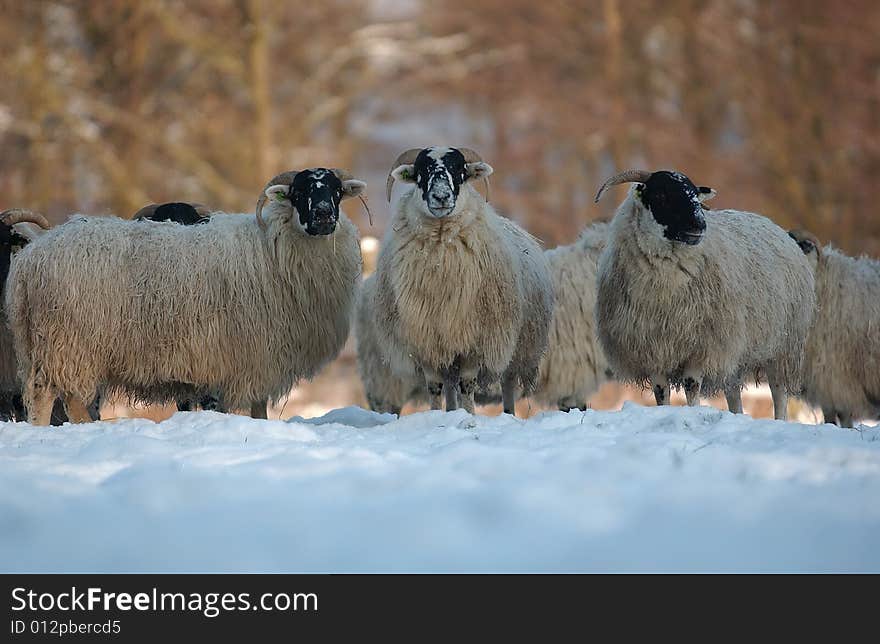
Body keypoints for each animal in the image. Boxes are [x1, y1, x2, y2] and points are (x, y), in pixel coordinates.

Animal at [4, 169, 364, 426]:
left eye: (336, 192)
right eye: (299, 193)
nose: (323, 216)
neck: (272, 248)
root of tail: (30, 260)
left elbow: (257, 410)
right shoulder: (247, 359)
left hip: (55, 346)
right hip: (70, 344)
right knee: (52, 396)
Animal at [374, 146, 552, 416]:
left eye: (459, 171)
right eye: (421, 172)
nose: (441, 196)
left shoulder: (475, 340)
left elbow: (467, 385)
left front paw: (468, 416)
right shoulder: (426, 340)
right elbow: (434, 386)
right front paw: (438, 415)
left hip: (517, 346)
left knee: (507, 382)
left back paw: (508, 414)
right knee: (449, 384)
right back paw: (450, 411)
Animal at [596, 169, 816, 420]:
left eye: (694, 195)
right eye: (661, 195)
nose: (699, 225)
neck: (664, 290)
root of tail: (773, 225)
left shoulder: (702, 346)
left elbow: (691, 386)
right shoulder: (653, 350)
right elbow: (661, 391)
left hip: (783, 347)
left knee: (779, 392)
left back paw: (779, 419)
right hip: (736, 346)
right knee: (733, 391)